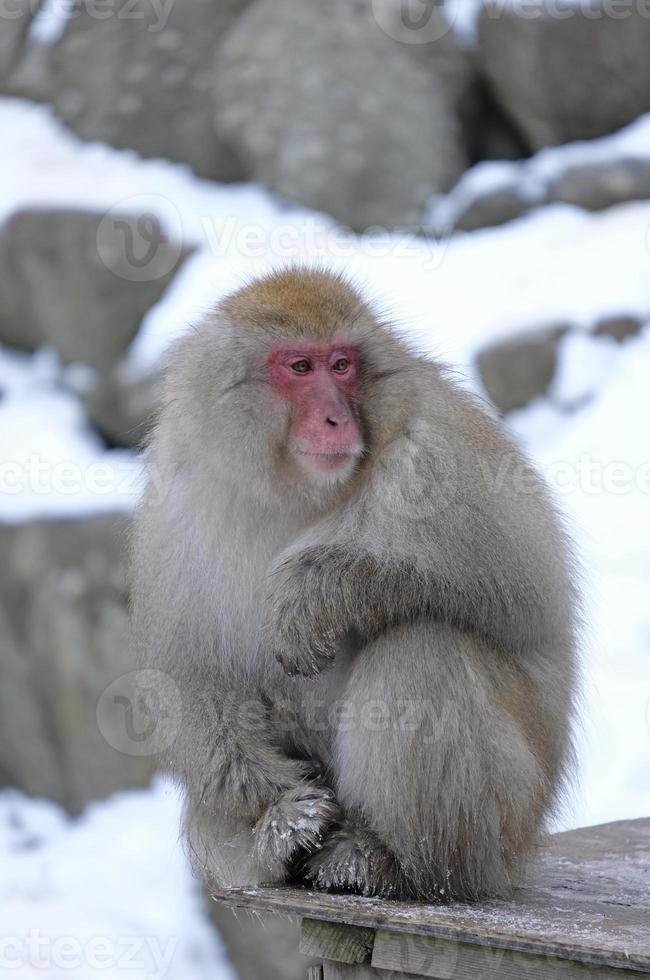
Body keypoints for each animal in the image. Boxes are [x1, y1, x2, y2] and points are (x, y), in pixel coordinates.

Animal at [129, 268, 576, 904]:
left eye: (342, 365)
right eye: (299, 367)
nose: (336, 419)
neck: (293, 490)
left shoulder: (440, 452)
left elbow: (529, 597)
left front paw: (312, 590)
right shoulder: (174, 504)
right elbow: (188, 675)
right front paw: (281, 807)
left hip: (510, 818)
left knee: (423, 649)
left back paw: (395, 865)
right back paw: (275, 844)